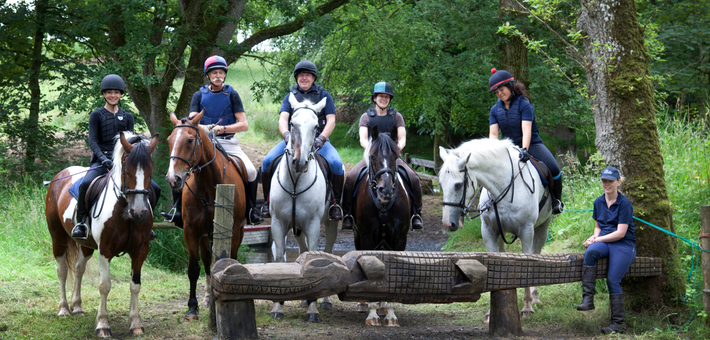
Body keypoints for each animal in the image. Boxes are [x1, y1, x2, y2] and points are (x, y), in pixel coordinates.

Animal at [46, 131, 160, 336]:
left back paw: (77, 307)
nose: (139, 213)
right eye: (127, 170)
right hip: (57, 238)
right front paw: (103, 325)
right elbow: (105, 286)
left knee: (79, 269)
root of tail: (61, 174)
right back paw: (64, 309)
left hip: (86, 244)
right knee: (62, 271)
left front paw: (136, 324)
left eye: (150, 172)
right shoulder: (105, 250)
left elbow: (135, 285)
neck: (125, 211)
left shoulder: (140, 250)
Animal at [166, 112, 249, 322]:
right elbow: (194, 268)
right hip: (205, 236)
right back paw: (207, 298)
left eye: (189, 140)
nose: (173, 179)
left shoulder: (233, 231)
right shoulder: (191, 232)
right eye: (170, 140)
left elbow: (229, 262)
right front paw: (192, 308)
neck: (208, 187)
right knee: (206, 262)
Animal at [270, 93, 342, 322]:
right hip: (297, 227)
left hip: (329, 224)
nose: (299, 162)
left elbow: (315, 259)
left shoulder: (313, 225)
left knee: (327, 252)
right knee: (301, 251)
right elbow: (280, 260)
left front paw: (313, 309)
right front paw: (278, 306)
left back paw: (324, 301)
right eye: (292, 123)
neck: (295, 181)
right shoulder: (278, 223)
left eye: (316, 126)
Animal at [352, 125, 408, 326]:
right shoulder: (367, 238)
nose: (386, 191)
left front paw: (390, 313)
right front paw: (372, 313)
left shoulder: (399, 240)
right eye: (373, 156)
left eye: (395, 156)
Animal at [442, 137, 552, 322]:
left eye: (458, 185)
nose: (448, 224)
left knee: (537, 253)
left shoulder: (527, 232)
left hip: (543, 227)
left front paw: (527, 307)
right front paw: (490, 311)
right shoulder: (489, 232)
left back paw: (535, 298)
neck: (504, 186)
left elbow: (529, 264)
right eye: (441, 183)